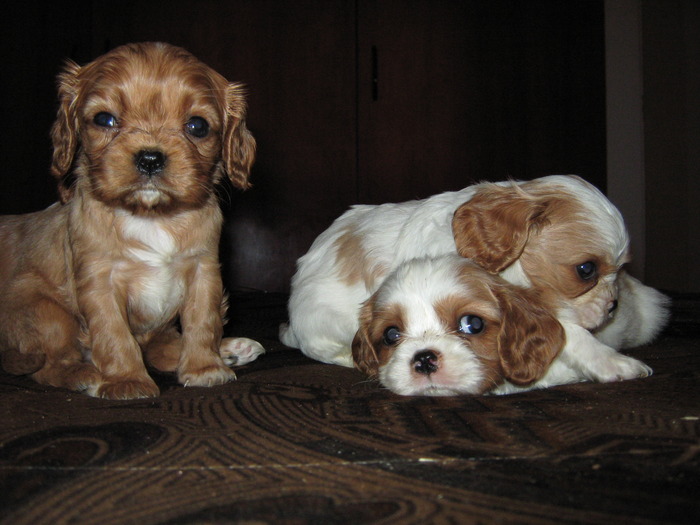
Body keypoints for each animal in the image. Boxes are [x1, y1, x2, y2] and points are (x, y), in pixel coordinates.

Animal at [0, 43, 262, 400]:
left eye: (197, 126)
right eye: (104, 119)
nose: (150, 157)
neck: (151, 216)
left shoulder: (203, 270)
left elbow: (202, 322)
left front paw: (204, 368)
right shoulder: (99, 280)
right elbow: (114, 334)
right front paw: (127, 381)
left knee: (161, 348)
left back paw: (230, 350)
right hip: (47, 312)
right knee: (49, 366)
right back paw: (85, 375)